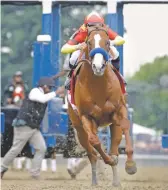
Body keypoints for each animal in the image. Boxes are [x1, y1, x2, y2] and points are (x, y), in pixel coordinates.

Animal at [67, 26, 137, 186]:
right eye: (89, 42)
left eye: (107, 42)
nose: (98, 66)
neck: (98, 86)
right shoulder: (86, 116)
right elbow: (95, 142)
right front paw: (109, 160)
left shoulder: (119, 109)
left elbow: (125, 125)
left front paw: (130, 165)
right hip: (79, 129)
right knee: (92, 153)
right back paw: (95, 180)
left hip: (112, 124)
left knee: (114, 147)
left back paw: (116, 181)